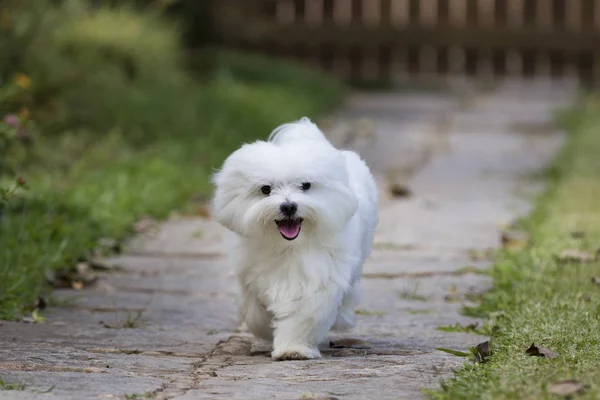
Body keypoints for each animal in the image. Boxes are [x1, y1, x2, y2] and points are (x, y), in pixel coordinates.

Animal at [213, 117, 378, 360]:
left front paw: (293, 348)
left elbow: (303, 317)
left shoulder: (317, 279)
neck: (286, 247)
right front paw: (267, 330)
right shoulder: (249, 276)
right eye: (265, 189)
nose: (289, 206)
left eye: (306, 185)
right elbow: (255, 313)